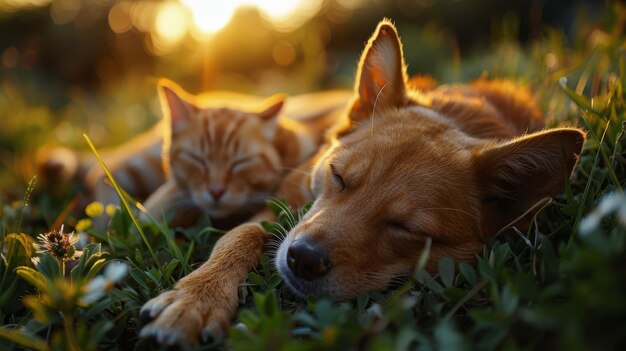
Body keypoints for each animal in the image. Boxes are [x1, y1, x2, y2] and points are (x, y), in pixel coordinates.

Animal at [139, 19, 584, 346]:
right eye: (339, 176)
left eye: (405, 228)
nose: (302, 259)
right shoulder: (285, 203)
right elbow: (240, 234)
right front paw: (197, 297)